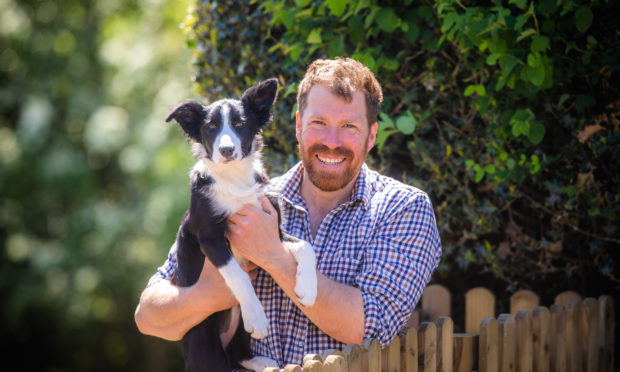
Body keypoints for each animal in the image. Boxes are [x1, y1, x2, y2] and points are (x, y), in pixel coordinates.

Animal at [165, 78, 318, 372]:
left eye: (239, 123)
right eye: (211, 126)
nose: (226, 150)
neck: (233, 178)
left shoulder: (273, 229)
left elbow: (306, 246)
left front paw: (308, 289)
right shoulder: (209, 237)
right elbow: (237, 274)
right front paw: (257, 317)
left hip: (236, 336)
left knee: (239, 353)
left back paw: (263, 361)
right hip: (205, 346)